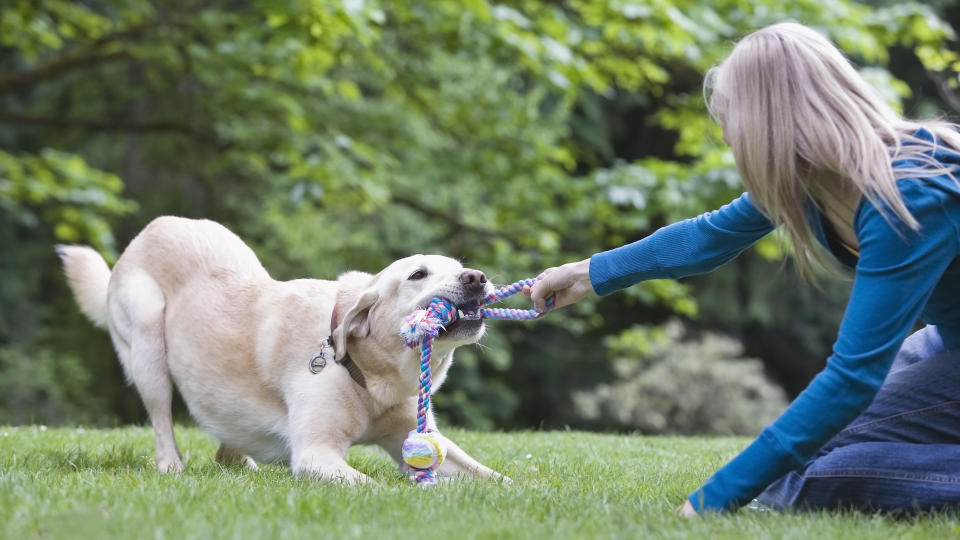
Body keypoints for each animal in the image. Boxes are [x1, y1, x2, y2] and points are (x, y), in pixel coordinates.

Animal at [56, 215, 506, 480]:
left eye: (458, 267)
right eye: (417, 274)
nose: (476, 277)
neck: (367, 372)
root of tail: (150, 228)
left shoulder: (419, 438)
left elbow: (492, 477)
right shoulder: (314, 453)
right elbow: (373, 486)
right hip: (149, 347)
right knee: (162, 419)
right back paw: (172, 467)